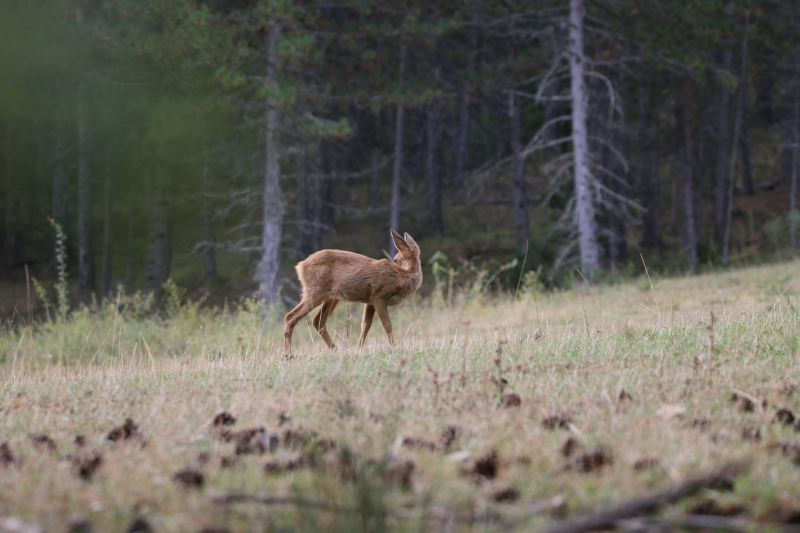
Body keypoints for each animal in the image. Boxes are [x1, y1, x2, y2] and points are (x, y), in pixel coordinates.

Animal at [282, 229, 422, 358]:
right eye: (395, 259)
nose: (394, 261)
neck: (403, 277)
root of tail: (300, 265)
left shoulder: (370, 301)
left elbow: (365, 325)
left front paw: (358, 349)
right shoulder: (379, 295)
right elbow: (387, 325)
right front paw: (394, 347)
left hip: (332, 297)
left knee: (318, 320)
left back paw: (335, 350)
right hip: (315, 290)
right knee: (290, 316)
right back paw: (288, 355)